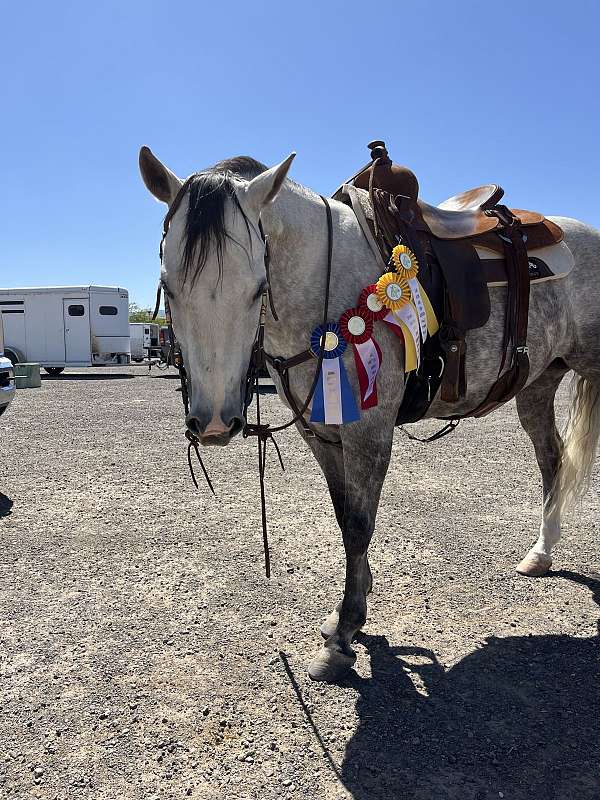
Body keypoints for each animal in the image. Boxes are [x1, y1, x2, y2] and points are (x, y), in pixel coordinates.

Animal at [139, 146, 600, 682]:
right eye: (169, 285)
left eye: (257, 287)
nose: (214, 422)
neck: (325, 284)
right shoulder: (320, 431)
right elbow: (344, 519)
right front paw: (348, 609)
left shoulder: (369, 432)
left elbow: (360, 524)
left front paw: (343, 636)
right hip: (540, 383)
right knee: (551, 460)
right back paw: (541, 553)